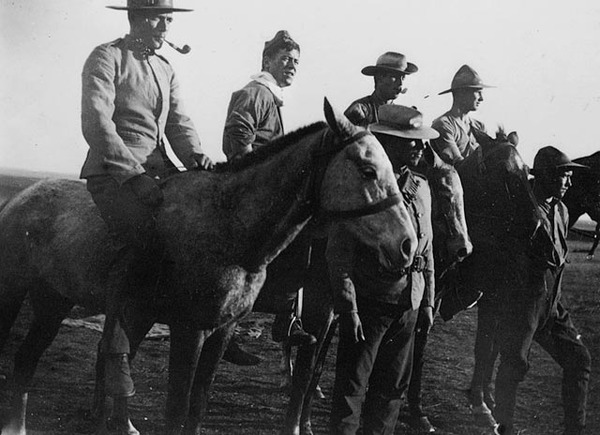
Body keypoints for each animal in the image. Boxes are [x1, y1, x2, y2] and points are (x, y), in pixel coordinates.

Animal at [0, 99, 418, 435]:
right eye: (367, 170)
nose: (407, 245)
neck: (229, 228)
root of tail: (18, 198)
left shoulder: (222, 331)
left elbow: (198, 405)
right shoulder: (190, 330)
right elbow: (178, 409)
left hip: (56, 302)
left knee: (28, 360)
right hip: (18, 293)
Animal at [252, 143, 474, 435]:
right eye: (446, 193)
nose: (464, 248)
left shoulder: (335, 315)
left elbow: (316, 369)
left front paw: (307, 422)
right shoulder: (318, 310)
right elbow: (307, 372)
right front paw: (296, 424)